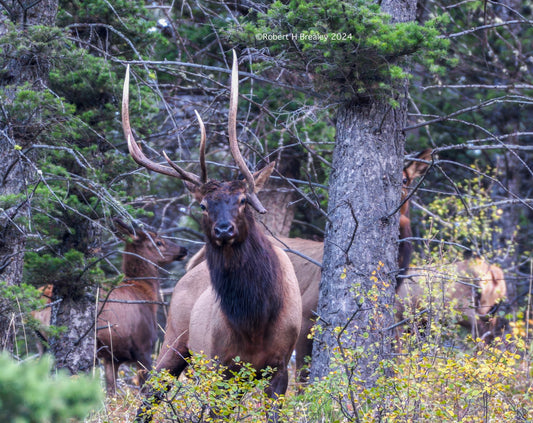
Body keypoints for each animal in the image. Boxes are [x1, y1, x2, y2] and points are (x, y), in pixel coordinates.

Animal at [122, 49, 302, 420]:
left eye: (243, 200)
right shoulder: (221, 367)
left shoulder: (280, 366)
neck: (256, 318)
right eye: (204, 205)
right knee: (148, 394)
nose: (223, 229)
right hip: (174, 339)